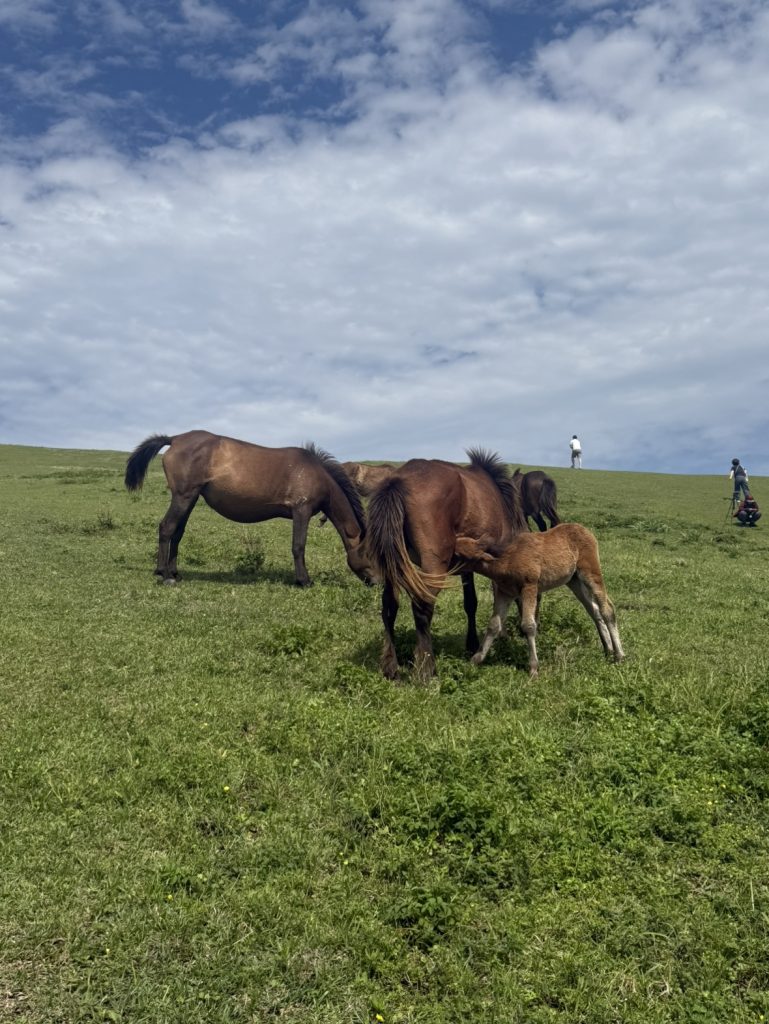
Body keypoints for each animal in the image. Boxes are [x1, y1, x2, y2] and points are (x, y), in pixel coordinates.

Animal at [124, 430, 372, 587]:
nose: (375, 583)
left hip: (190, 498)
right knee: (166, 527)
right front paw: (304, 580)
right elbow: (298, 546)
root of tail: (174, 439)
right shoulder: (301, 510)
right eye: (372, 555)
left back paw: (175, 572)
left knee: (177, 532)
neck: (317, 474)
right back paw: (164, 574)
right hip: (183, 496)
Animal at [365, 450, 527, 681]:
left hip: (392, 564)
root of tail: (398, 480)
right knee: (422, 606)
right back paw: (426, 669)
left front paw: (472, 644)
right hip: (434, 567)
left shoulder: (467, 566)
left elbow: (471, 603)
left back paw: (390, 665)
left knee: (389, 605)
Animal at [455, 523, 624, 676]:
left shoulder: (529, 587)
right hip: (573, 580)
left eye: (457, 555)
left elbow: (529, 625)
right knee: (593, 610)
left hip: (590, 571)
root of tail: (585, 530)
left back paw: (619, 655)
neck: (506, 560)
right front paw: (475, 659)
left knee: (607, 608)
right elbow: (494, 625)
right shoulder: (505, 593)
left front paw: (533, 668)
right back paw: (608, 650)